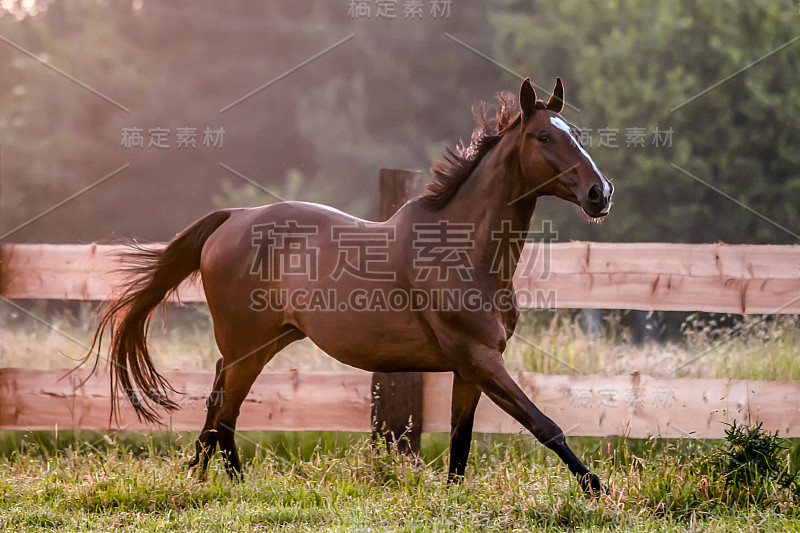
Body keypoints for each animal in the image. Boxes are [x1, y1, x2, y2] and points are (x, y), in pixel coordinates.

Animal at [87, 79, 612, 494]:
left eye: (577, 134)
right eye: (544, 135)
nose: (600, 193)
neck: (462, 250)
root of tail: (233, 218)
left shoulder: (471, 367)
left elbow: (461, 446)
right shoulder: (478, 358)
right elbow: (546, 426)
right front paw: (598, 490)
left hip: (262, 343)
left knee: (220, 406)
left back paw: (209, 478)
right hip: (246, 345)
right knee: (224, 409)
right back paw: (225, 483)